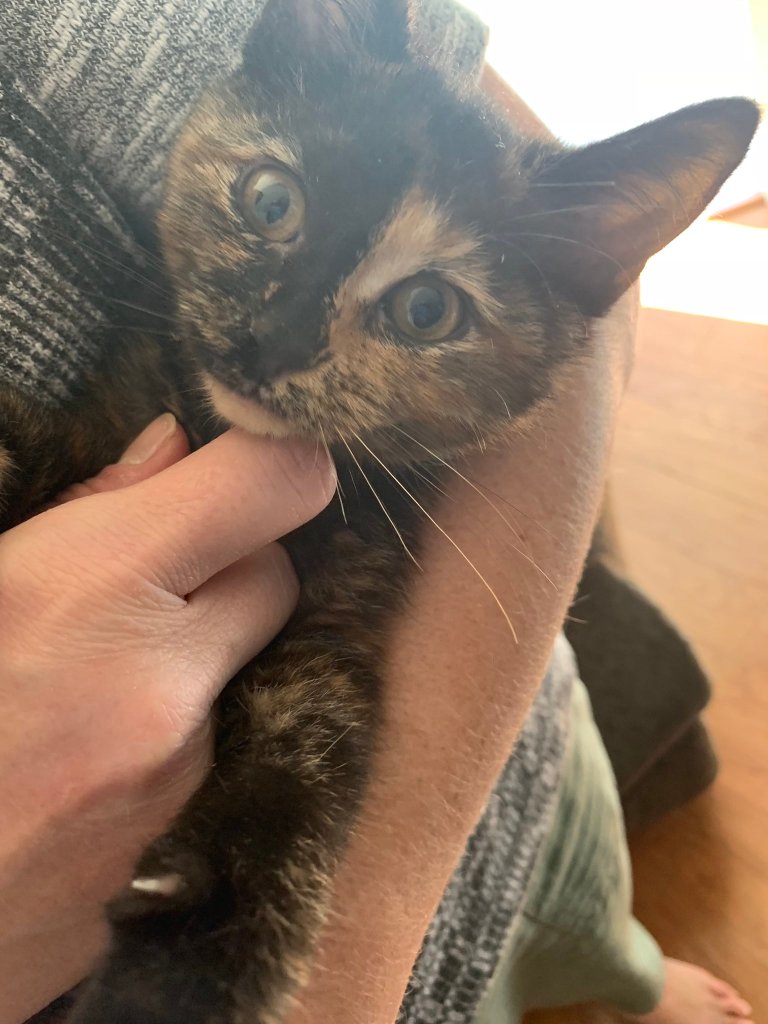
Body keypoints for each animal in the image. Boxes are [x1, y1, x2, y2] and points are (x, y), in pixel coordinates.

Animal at [0, 2, 757, 1024]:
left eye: (427, 309)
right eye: (271, 202)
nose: (273, 340)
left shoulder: (341, 623)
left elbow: (307, 763)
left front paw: (181, 965)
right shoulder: (109, 428)